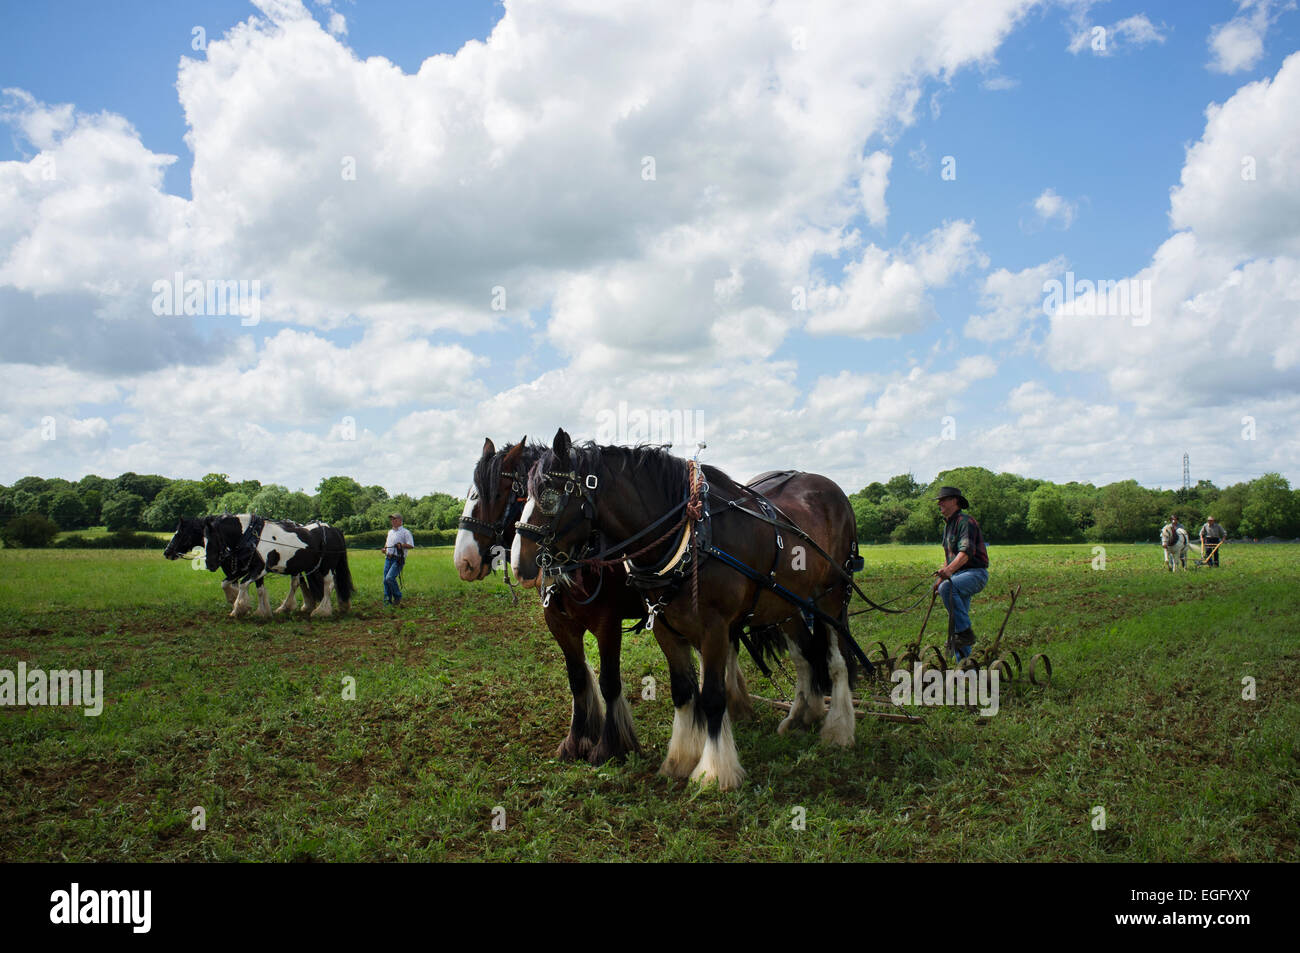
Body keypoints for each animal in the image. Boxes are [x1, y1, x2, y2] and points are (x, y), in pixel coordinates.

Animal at [200, 515, 353, 618]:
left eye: (212, 540)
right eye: (203, 540)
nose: (209, 564)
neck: (253, 537)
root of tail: (334, 529)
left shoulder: (260, 569)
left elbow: (243, 584)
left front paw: (240, 607)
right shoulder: (248, 568)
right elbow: (228, 584)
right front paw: (258, 610)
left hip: (327, 566)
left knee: (329, 585)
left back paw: (322, 611)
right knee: (297, 584)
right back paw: (286, 607)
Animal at [513, 429, 859, 791]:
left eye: (549, 495)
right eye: (522, 494)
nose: (519, 563)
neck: (691, 536)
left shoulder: (712, 628)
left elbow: (712, 696)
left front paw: (714, 772)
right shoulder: (665, 626)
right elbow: (682, 691)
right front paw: (679, 760)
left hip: (834, 598)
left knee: (839, 662)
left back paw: (839, 730)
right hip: (788, 605)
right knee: (806, 656)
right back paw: (801, 717)